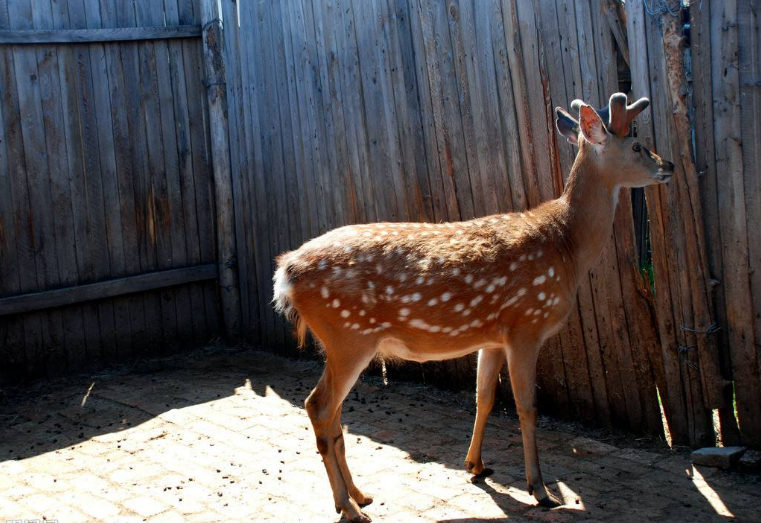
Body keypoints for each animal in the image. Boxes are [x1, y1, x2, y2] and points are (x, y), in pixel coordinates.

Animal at [272, 92, 672, 520]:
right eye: (636, 145)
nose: (669, 165)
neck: (567, 248)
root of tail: (285, 272)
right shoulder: (526, 325)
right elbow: (527, 407)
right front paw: (539, 488)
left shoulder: (493, 338)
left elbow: (485, 398)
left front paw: (476, 465)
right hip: (349, 335)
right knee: (319, 407)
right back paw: (349, 507)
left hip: (341, 343)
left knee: (332, 415)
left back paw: (359, 496)